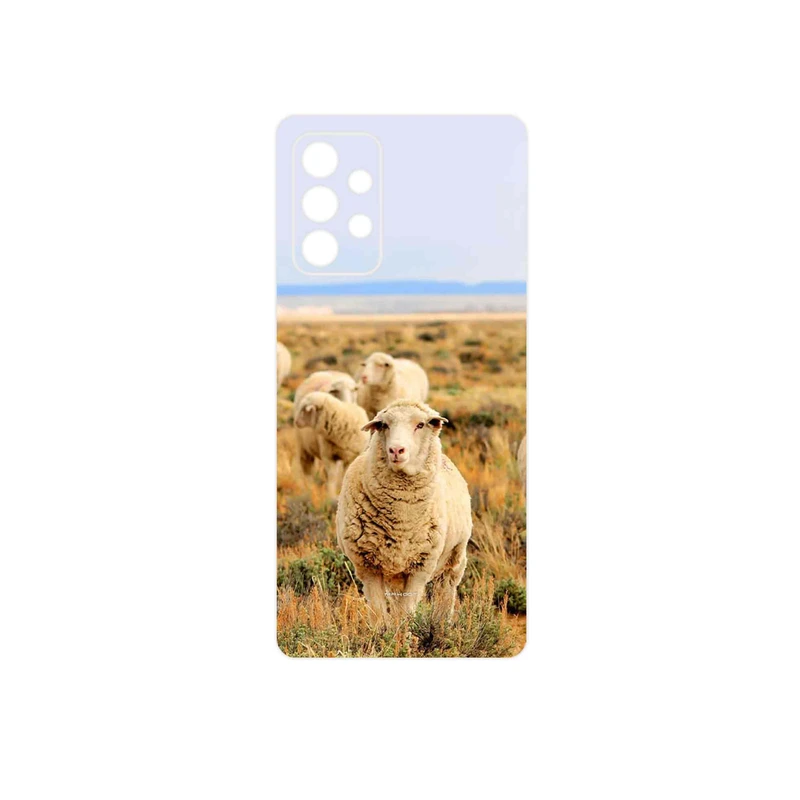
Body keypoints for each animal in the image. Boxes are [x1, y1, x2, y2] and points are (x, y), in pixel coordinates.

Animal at [336, 399, 472, 623]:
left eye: (421, 425)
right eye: (384, 425)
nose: (396, 450)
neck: (401, 519)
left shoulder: (420, 566)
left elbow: (406, 613)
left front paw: (405, 632)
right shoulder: (367, 566)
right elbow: (379, 613)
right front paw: (384, 632)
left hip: (454, 558)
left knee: (445, 591)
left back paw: (441, 623)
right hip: (395, 573)